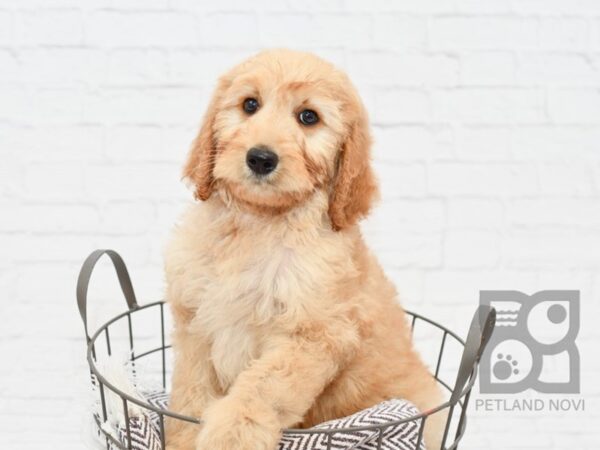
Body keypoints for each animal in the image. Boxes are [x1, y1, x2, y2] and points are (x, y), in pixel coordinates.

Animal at [164, 50, 446, 450]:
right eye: (250, 105)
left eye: (308, 117)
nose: (260, 158)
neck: (258, 223)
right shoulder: (194, 322)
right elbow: (190, 392)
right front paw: (184, 438)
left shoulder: (315, 335)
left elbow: (265, 383)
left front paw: (234, 430)